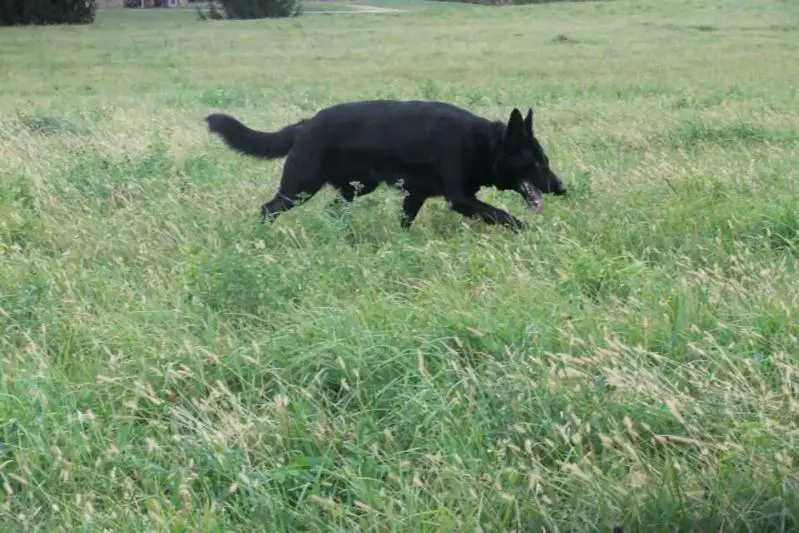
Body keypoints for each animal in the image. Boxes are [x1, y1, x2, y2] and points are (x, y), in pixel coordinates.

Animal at [206, 99, 568, 231]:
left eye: (545, 160)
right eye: (536, 162)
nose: (562, 187)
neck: (483, 144)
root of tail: (305, 125)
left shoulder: (415, 195)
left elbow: (405, 221)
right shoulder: (460, 199)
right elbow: (504, 215)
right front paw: (529, 231)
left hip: (358, 187)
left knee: (335, 209)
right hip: (299, 188)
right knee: (267, 209)